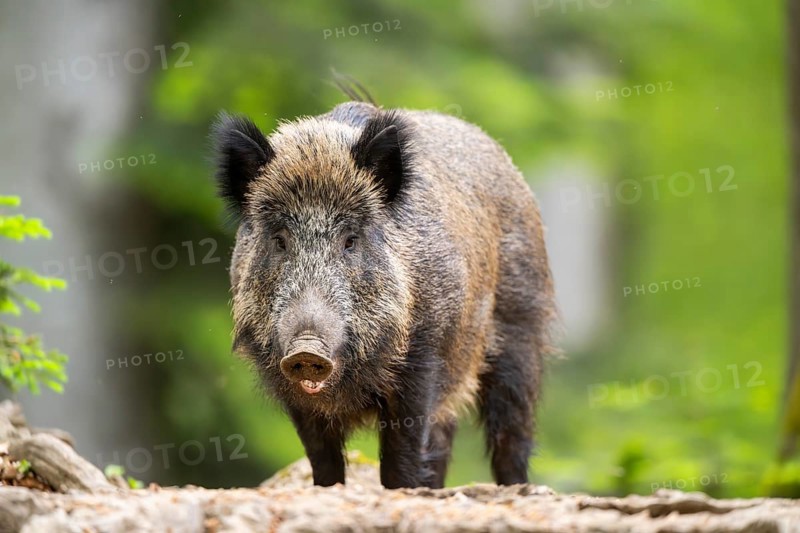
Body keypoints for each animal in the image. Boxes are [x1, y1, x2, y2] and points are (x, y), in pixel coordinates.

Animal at [212, 100, 557, 489]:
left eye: (350, 240)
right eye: (279, 239)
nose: (307, 348)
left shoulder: (424, 357)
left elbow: (401, 455)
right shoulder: (291, 389)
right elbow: (323, 460)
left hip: (521, 326)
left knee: (511, 431)